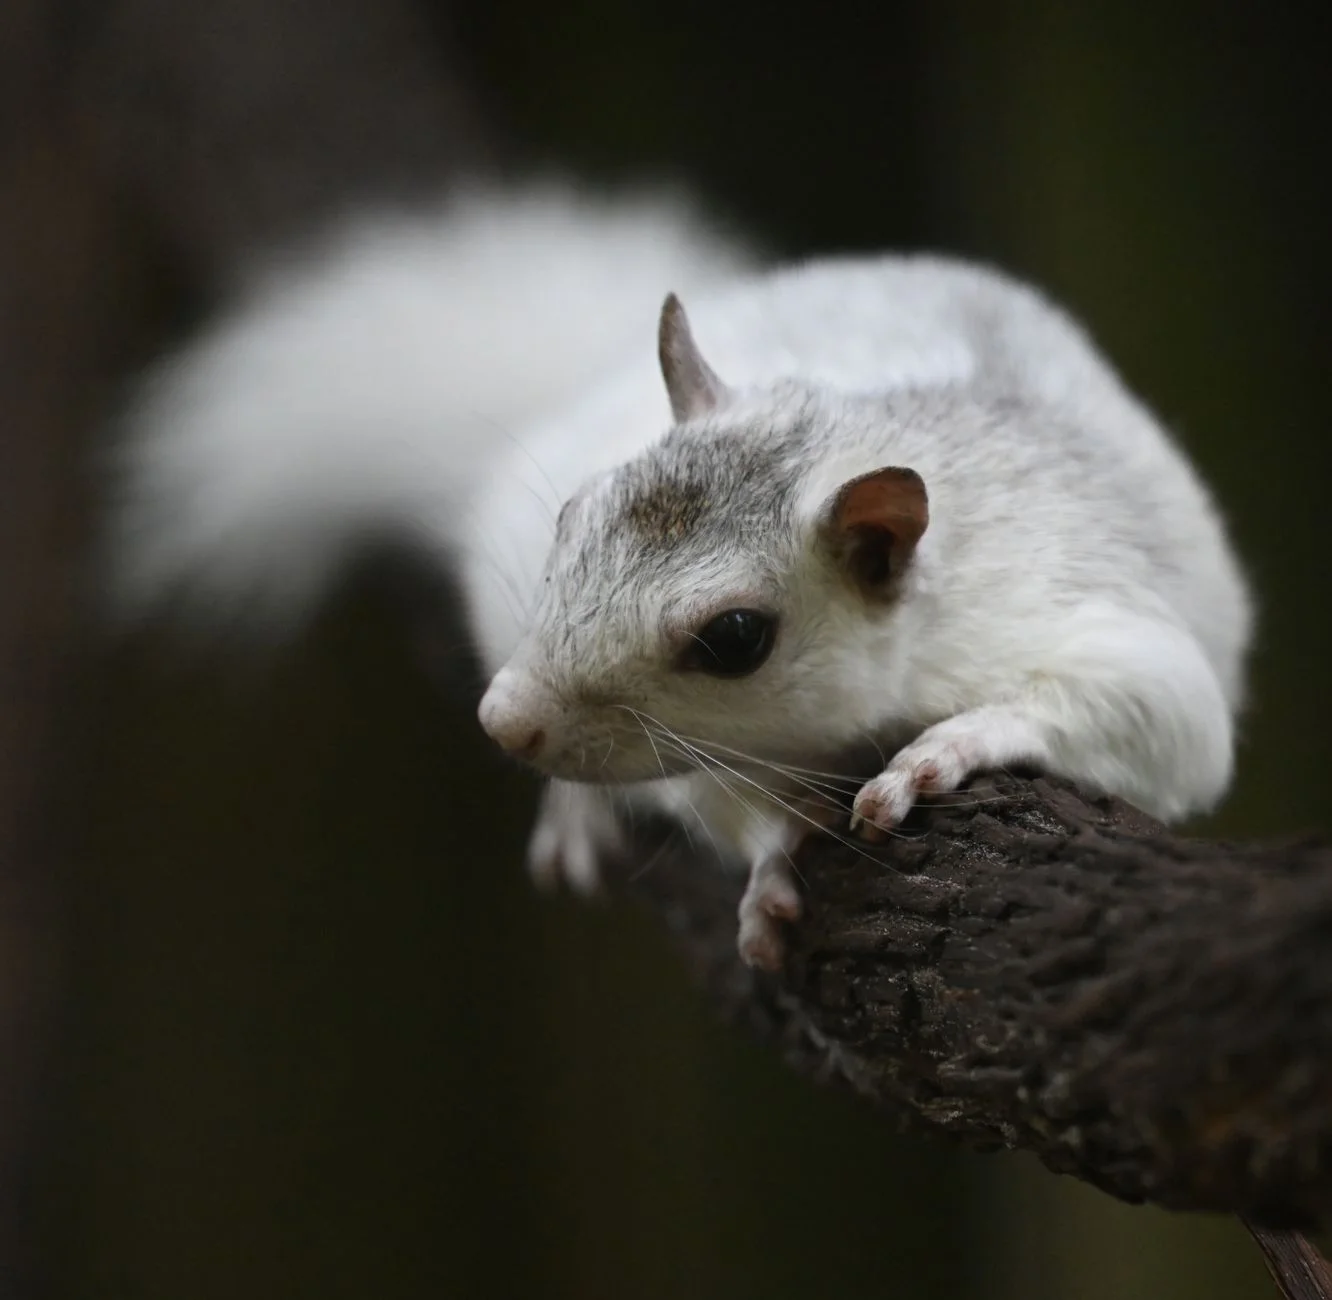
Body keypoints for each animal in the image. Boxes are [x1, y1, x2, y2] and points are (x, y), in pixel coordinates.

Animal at [108, 180, 1252, 971]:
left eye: (736, 639)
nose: (506, 721)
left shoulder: (1091, 612)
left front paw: (942, 753)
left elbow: (1161, 717)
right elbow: (725, 801)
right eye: (571, 515)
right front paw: (772, 859)